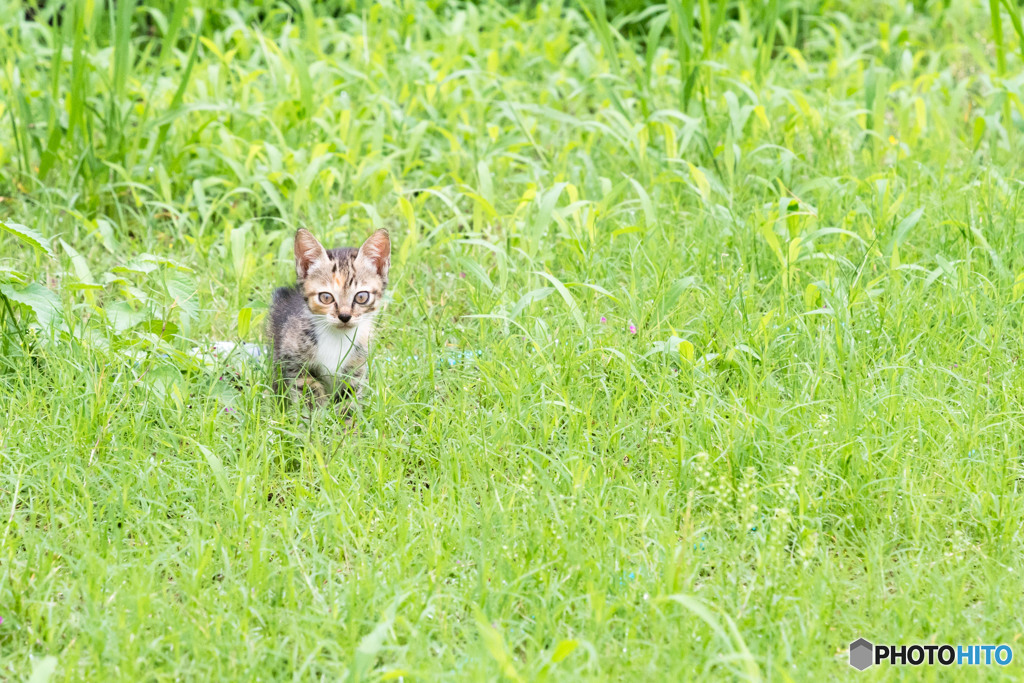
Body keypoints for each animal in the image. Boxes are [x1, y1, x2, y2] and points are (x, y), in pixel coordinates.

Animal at [266, 227, 389, 409]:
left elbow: (349, 396)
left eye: (361, 297)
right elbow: (309, 390)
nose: (344, 316)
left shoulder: (356, 366)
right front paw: (315, 414)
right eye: (326, 297)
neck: (337, 338)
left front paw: (347, 416)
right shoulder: (294, 361)